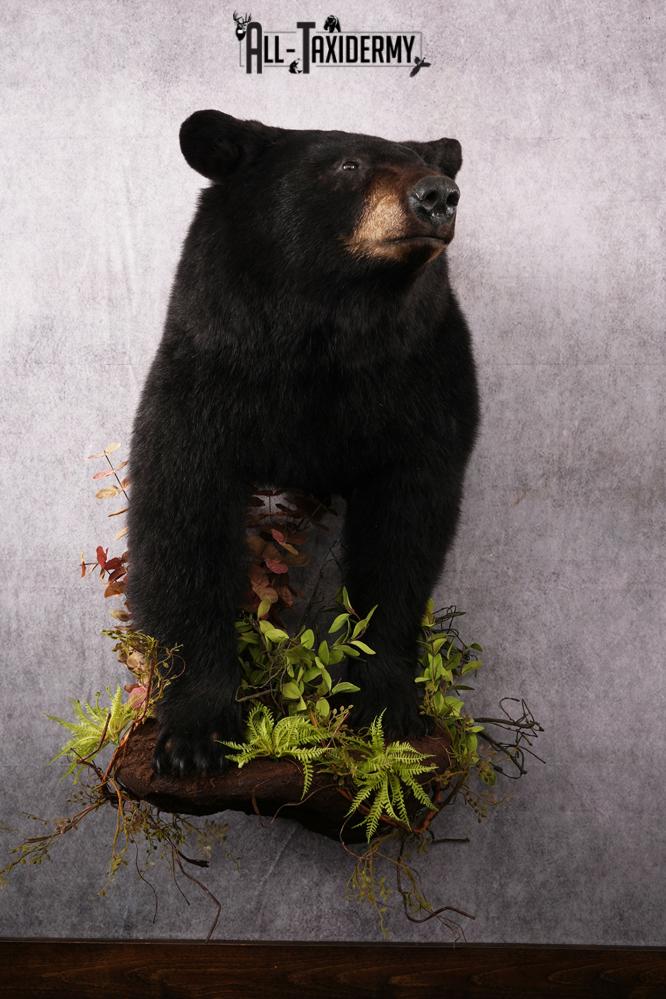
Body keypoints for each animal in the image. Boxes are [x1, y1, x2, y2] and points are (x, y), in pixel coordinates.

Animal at [126, 110, 480, 776]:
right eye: (348, 165)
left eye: (428, 165)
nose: (438, 196)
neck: (330, 324)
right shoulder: (212, 369)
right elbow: (183, 523)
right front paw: (195, 735)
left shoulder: (421, 380)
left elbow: (404, 535)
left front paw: (389, 708)